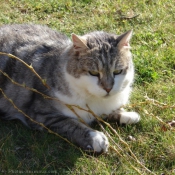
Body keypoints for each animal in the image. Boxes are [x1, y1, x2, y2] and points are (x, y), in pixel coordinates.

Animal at [0, 24, 139, 153]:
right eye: (93, 73)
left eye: (117, 71)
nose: (108, 88)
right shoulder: (40, 114)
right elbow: (70, 123)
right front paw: (94, 138)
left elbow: (108, 111)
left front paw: (126, 114)